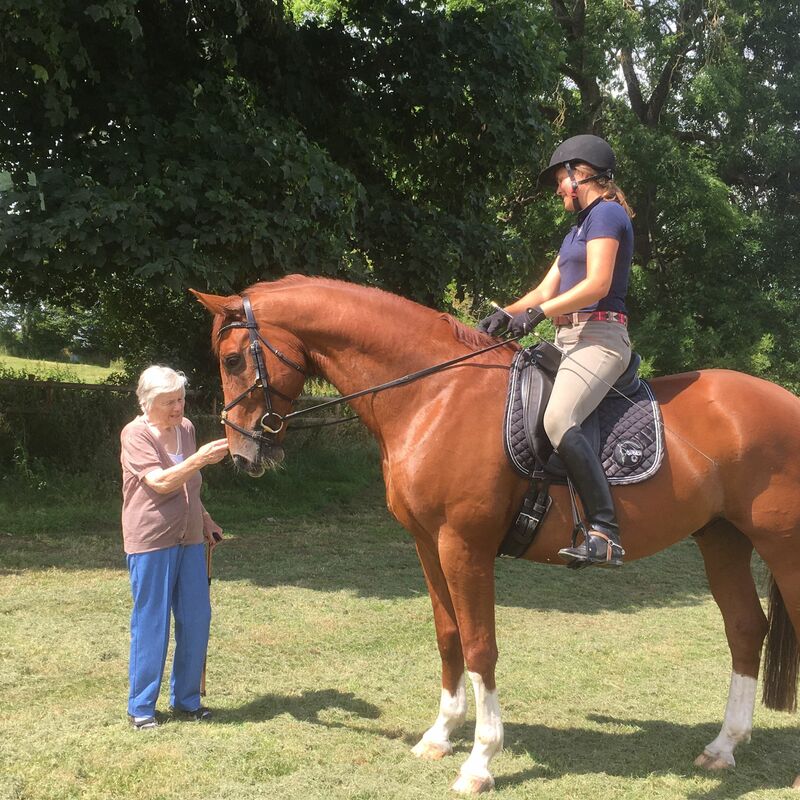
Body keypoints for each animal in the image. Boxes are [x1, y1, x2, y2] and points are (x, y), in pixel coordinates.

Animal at [194, 278, 800, 792]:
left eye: (233, 359)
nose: (242, 453)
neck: (435, 394)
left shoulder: (465, 545)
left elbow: (480, 644)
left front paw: (480, 760)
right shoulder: (427, 543)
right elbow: (449, 636)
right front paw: (440, 736)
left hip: (781, 546)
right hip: (722, 539)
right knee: (746, 628)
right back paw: (723, 746)